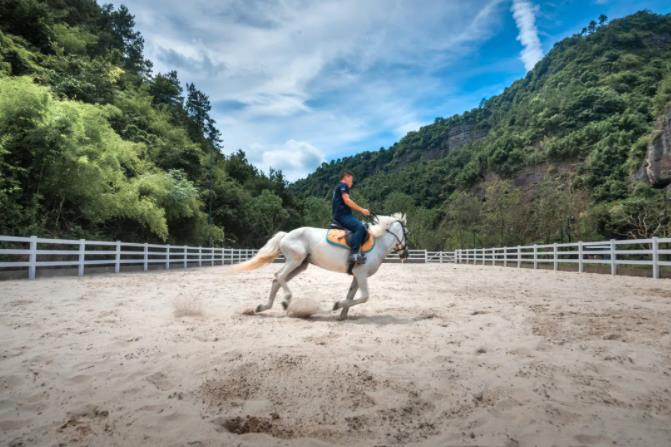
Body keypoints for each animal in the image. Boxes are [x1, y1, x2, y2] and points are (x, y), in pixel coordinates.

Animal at [236, 215, 410, 320]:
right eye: (407, 233)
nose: (405, 254)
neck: (378, 243)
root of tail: (286, 235)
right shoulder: (361, 273)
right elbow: (364, 297)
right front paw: (337, 305)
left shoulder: (356, 275)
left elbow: (351, 296)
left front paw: (342, 314)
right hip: (294, 261)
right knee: (279, 277)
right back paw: (286, 301)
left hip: (301, 265)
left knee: (277, 279)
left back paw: (263, 307)